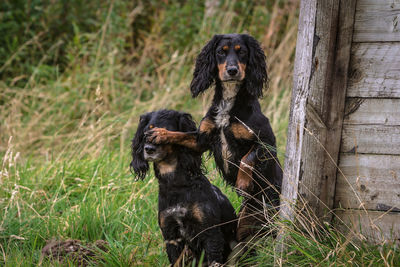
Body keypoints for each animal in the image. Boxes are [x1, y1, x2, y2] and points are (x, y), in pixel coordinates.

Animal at [130, 110, 238, 266]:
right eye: (146, 131)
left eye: (165, 132)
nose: (149, 149)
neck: (176, 185)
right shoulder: (171, 235)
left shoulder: (211, 233)